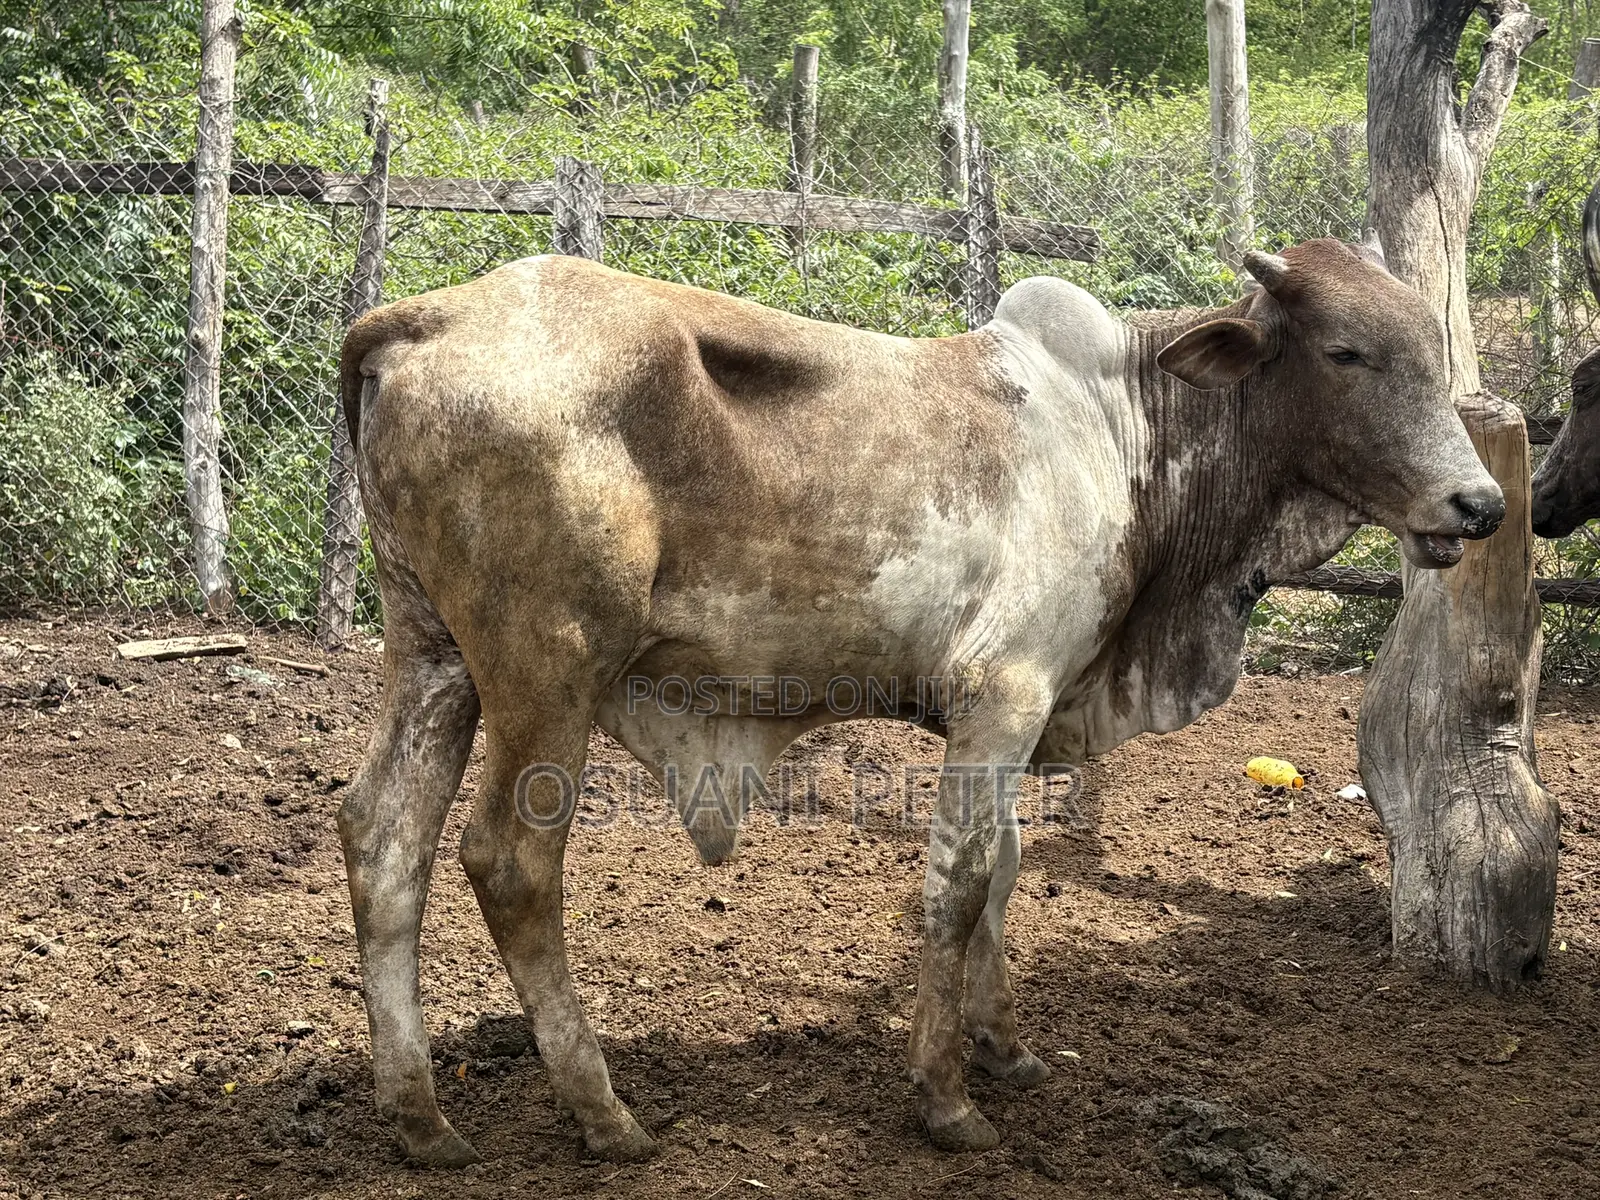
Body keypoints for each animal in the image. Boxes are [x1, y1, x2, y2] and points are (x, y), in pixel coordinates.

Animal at [334, 238, 1504, 1166]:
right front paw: (944, 1098)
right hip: (550, 672)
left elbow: (1007, 872)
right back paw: (603, 1113)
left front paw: (1007, 1049)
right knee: (509, 864)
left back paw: (420, 1119)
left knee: (382, 837)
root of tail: (424, 317)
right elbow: (959, 883)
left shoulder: (1018, 711)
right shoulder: (1005, 695)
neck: (1125, 430)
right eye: (1346, 353)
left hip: (431, 654)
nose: (1480, 504)